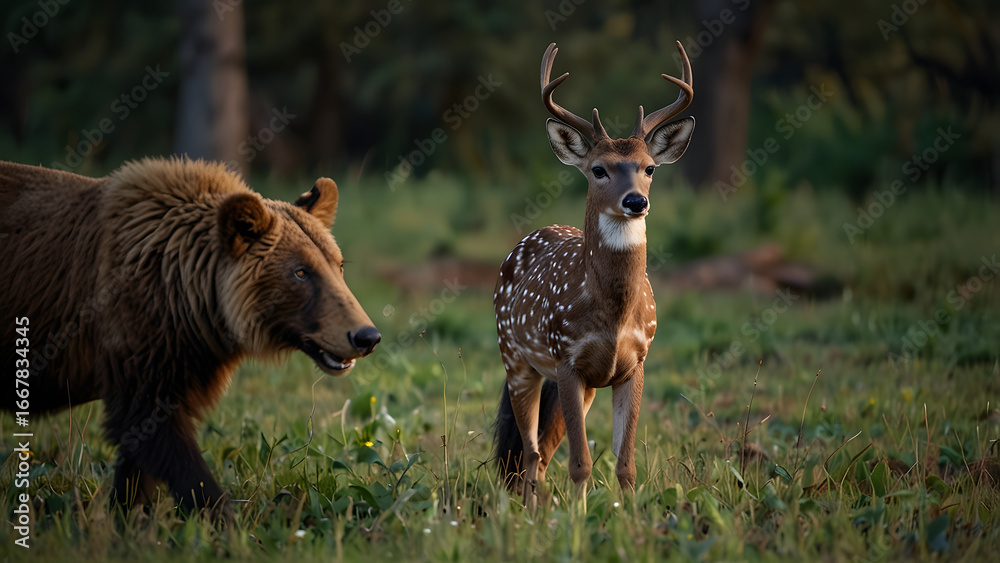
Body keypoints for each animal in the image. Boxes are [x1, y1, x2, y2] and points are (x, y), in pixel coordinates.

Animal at [0, 157, 381, 519]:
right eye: (301, 272)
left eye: (338, 265)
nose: (366, 336)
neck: (193, 301)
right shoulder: (137, 342)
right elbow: (163, 441)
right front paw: (223, 519)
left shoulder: (182, 359)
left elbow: (139, 458)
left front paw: (128, 513)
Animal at [492, 41, 694, 511]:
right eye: (599, 169)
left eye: (649, 167)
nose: (636, 201)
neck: (613, 314)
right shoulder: (566, 359)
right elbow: (581, 462)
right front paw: (578, 521)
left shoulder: (635, 363)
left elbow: (626, 463)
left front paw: (629, 519)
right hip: (515, 357)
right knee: (530, 450)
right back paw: (527, 514)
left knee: (543, 451)